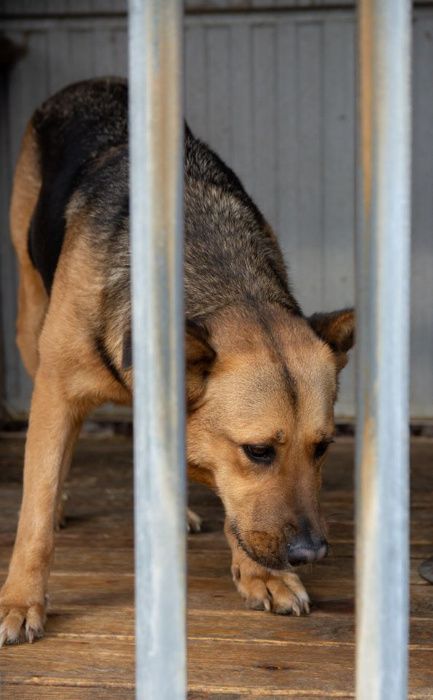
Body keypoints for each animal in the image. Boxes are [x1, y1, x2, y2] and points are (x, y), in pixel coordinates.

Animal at [0, 78, 352, 644]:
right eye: (258, 452)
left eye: (321, 448)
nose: (312, 554)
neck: (224, 281)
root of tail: (89, 83)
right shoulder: (58, 391)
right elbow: (36, 504)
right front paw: (21, 599)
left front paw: (262, 574)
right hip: (30, 325)